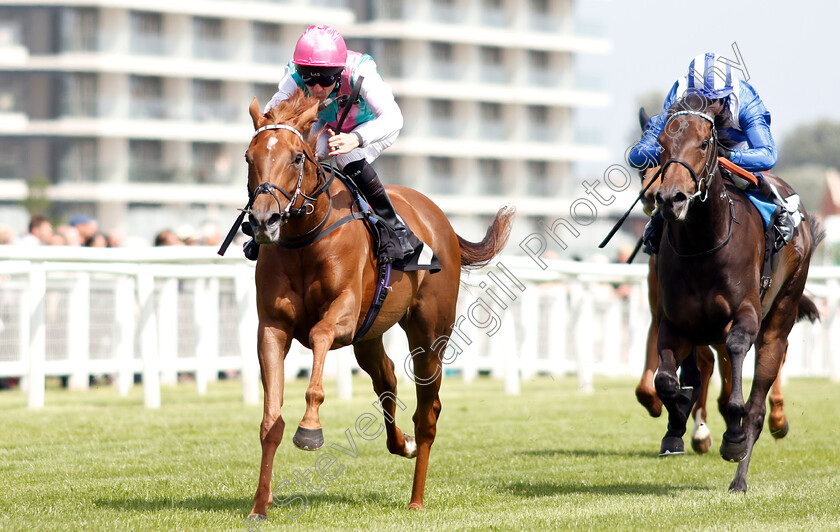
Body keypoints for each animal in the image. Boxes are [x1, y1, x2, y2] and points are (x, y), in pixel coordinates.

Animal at [240, 92, 508, 520]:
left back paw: (416, 497)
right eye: (249, 157)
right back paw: (402, 444)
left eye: (297, 157)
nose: (265, 220)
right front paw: (259, 507)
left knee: (427, 412)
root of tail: (442, 222)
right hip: (370, 335)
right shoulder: (273, 327)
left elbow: (319, 335)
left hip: (429, 334)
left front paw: (310, 427)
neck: (305, 240)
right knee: (387, 378)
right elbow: (271, 421)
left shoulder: (344, 317)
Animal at [648, 94, 820, 490]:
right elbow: (666, 381)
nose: (671, 199)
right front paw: (676, 426)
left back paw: (739, 472)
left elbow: (738, 364)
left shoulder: (744, 315)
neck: (703, 245)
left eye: (704, 143)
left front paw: (733, 437)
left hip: (779, 320)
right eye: (661, 145)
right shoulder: (675, 325)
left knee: (756, 405)